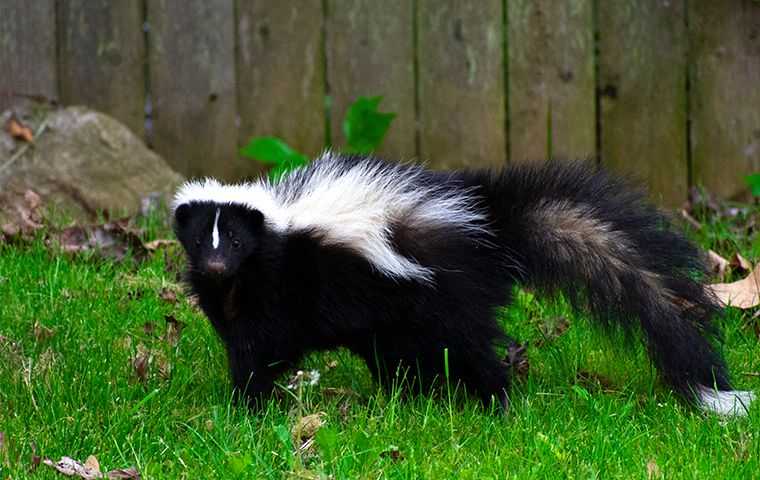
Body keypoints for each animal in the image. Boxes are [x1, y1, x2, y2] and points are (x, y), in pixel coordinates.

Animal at [172, 154, 756, 416]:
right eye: (202, 241)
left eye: (236, 242)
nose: (217, 266)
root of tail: (492, 230)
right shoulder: (234, 299)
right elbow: (243, 343)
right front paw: (245, 401)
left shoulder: (279, 289)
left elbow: (262, 348)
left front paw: (246, 404)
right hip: (402, 320)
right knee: (403, 356)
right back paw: (411, 397)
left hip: (444, 301)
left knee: (473, 350)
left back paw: (497, 404)